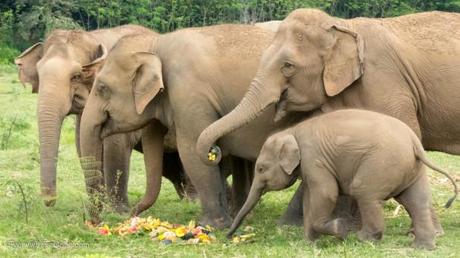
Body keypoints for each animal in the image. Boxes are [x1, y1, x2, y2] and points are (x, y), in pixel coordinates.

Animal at [14, 25, 194, 213]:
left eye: (76, 76)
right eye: (39, 74)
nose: (50, 201)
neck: (95, 36)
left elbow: (115, 146)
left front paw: (118, 212)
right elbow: (81, 144)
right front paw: (102, 205)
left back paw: (192, 202)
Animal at [79, 23, 310, 226]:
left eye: (102, 88)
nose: (131, 214)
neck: (158, 43)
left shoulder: (189, 94)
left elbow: (191, 148)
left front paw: (210, 225)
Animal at [196, 9, 460, 224]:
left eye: (288, 66)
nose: (214, 151)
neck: (342, 26)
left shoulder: (385, 82)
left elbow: (407, 135)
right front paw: (292, 225)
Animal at [228, 109, 458, 250]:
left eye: (261, 168)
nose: (228, 236)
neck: (290, 131)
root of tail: (414, 142)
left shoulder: (314, 158)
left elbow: (326, 193)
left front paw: (340, 230)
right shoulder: (311, 166)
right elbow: (311, 198)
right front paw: (309, 242)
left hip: (382, 163)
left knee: (365, 193)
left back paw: (364, 238)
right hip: (411, 168)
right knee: (416, 200)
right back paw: (423, 247)